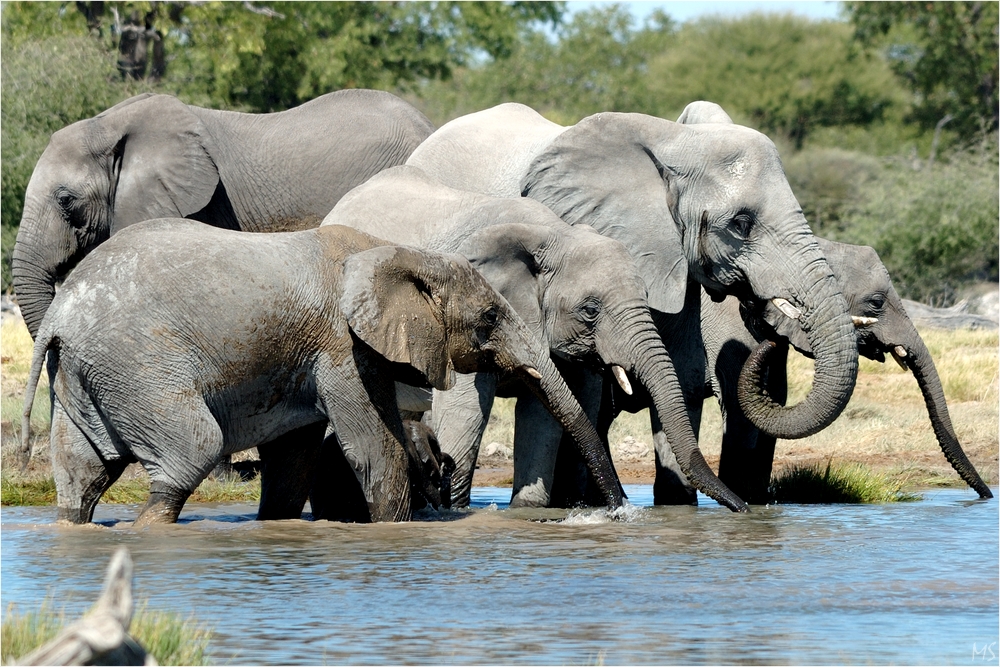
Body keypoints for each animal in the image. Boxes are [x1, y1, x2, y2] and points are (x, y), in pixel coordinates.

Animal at [19, 219, 620, 528]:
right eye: (491, 317)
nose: (616, 513)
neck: (399, 251)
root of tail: (60, 311)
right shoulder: (343, 345)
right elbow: (374, 445)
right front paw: (394, 531)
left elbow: (294, 456)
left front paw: (278, 531)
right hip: (138, 362)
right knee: (191, 450)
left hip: (89, 370)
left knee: (84, 470)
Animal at [320, 164, 752, 508]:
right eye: (590, 310)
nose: (745, 509)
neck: (555, 235)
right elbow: (466, 412)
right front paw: (454, 509)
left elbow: (544, 415)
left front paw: (526, 510)